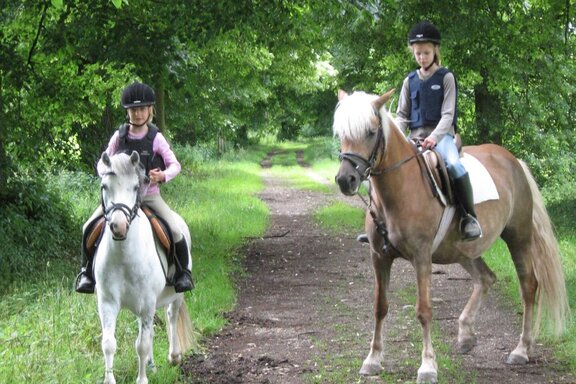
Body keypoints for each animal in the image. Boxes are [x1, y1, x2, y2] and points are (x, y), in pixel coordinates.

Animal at [94, 152, 194, 384]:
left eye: (135, 186)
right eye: (104, 186)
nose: (119, 226)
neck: (123, 256)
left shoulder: (147, 303)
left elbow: (142, 345)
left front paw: (142, 379)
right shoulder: (107, 303)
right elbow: (109, 344)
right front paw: (110, 380)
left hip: (176, 295)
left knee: (171, 316)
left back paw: (174, 356)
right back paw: (151, 365)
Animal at [330, 88, 568, 382]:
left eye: (371, 132)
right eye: (341, 132)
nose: (346, 180)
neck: (399, 189)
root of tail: (514, 161)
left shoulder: (421, 257)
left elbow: (424, 310)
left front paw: (427, 366)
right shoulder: (379, 257)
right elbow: (380, 306)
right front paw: (372, 360)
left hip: (518, 238)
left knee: (529, 286)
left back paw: (521, 349)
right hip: (464, 250)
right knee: (486, 278)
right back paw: (466, 334)